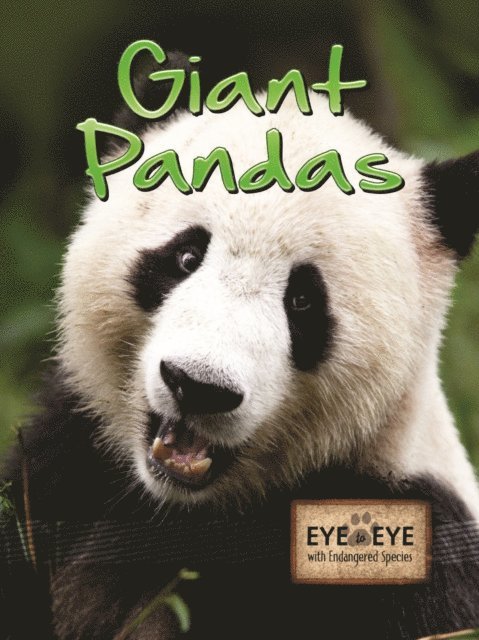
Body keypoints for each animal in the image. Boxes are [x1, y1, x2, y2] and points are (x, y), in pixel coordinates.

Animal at [2, 52, 479, 640]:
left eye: (302, 301)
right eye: (185, 256)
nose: (198, 385)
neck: (182, 509)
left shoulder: (412, 545)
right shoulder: (63, 462)